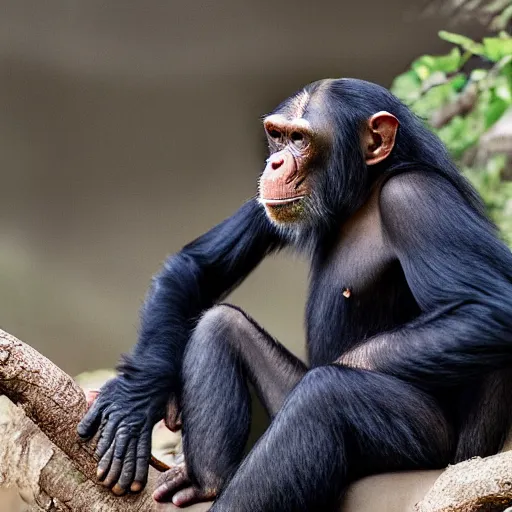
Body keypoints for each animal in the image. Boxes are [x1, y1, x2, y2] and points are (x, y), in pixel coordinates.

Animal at [78, 78, 512, 510]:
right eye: (278, 135)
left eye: (301, 140)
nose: (275, 163)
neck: (364, 192)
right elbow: (198, 266)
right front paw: (137, 398)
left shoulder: (415, 198)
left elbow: (491, 311)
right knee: (220, 324)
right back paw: (206, 483)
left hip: (432, 448)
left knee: (323, 396)